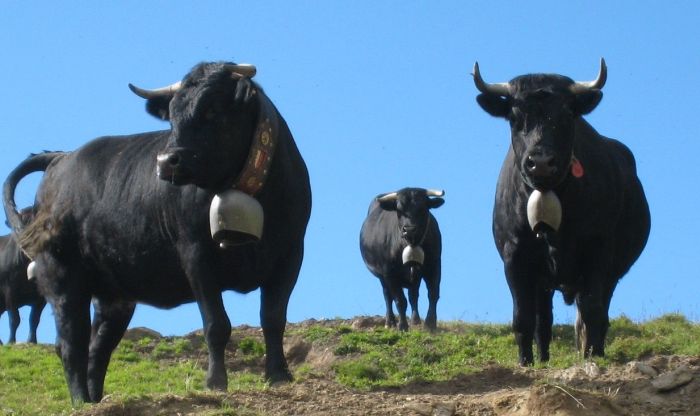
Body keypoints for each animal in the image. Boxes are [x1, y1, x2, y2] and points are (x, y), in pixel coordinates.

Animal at [2, 61, 308, 404]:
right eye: (172, 115)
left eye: (213, 109)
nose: (166, 160)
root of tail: (61, 158)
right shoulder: (196, 256)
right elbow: (216, 324)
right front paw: (215, 382)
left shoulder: (291, 253)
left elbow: (273, 317)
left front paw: (279, 375)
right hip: (62, 277)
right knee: (71, 343)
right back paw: (80, 401)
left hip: (113, 294)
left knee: (98, 347)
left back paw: (96, 399)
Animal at [360, 188, 442, 332]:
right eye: (399, 209)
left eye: (423, 208)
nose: (409, 229)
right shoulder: (389, 272)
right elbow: (399, 300)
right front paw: (402, 326)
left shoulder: (434, 265)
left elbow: (433, 294)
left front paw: (430, 324)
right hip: (383, 276)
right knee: (388, 296)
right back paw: (390, 321)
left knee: (413, 295)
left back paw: (415, 320)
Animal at [474, 57, 652, 364]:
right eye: (514, 117)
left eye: (568, 115)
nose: (541, 162)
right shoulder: (515, 257)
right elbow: (523, 318)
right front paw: (526, 362)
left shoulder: (598, 252)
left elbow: (593, 310)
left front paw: (592, 357)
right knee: (543, 320)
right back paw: (543, 359)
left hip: (610, 273)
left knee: (597, 314)